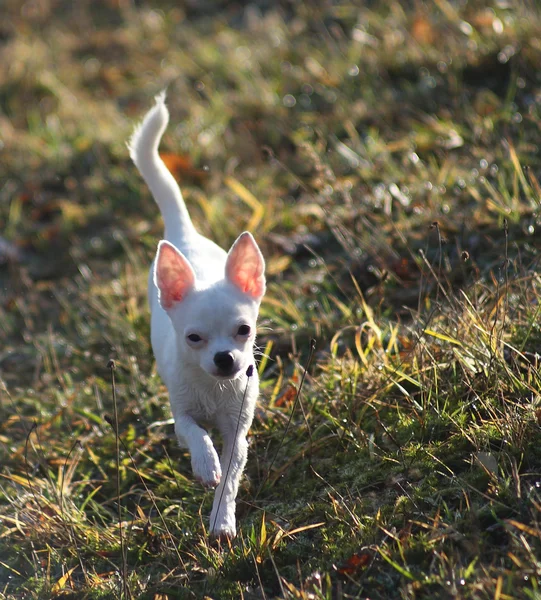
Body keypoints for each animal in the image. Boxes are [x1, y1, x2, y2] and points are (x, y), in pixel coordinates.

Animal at [131, 92, 266, 540]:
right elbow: (193, 432)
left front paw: (221, 518)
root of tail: (184, 233)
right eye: (194, 338)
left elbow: (231, 474)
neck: (213, 387)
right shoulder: (182, 414)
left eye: (243, 330)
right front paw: (205, 464)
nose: (225, 359)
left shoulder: (237, 430)